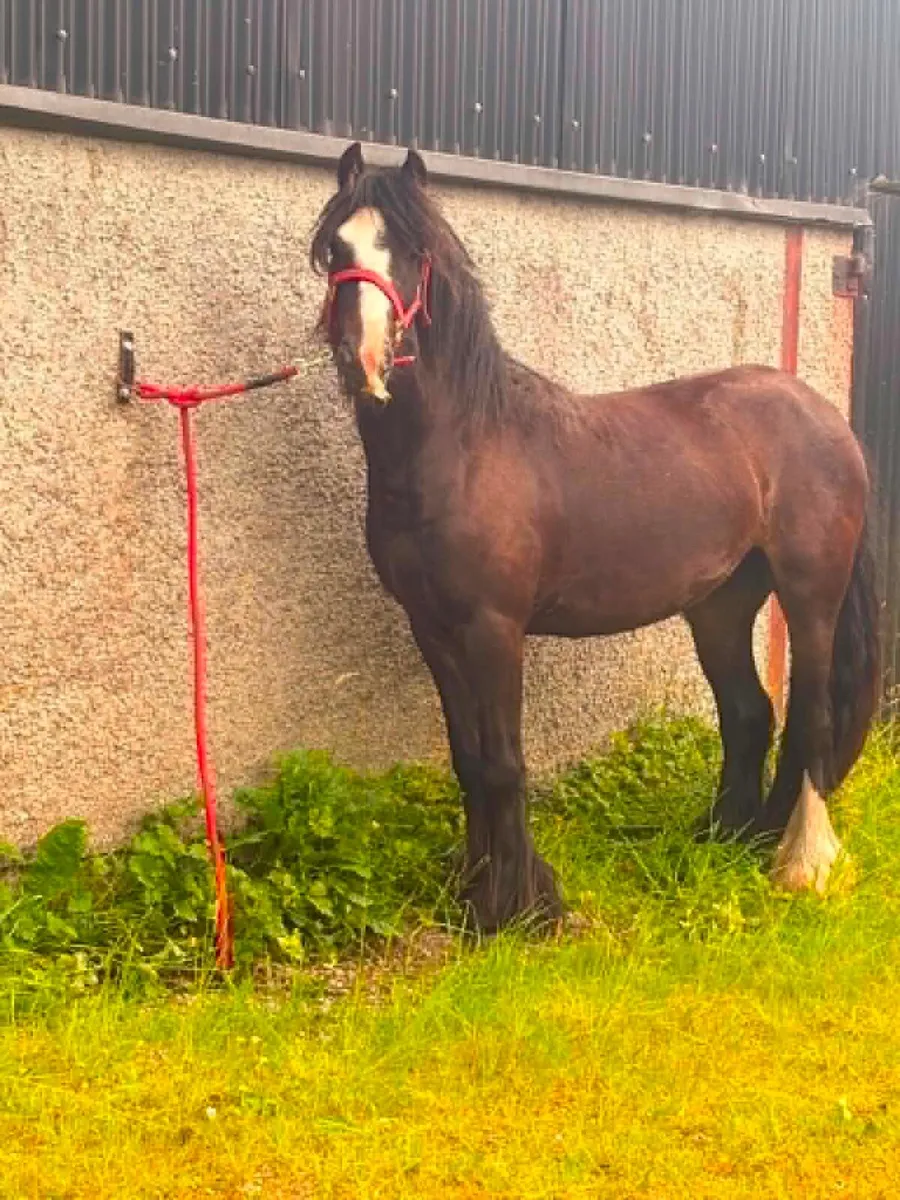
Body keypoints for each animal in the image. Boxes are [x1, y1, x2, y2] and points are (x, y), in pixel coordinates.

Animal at [310, 141, 880, 933]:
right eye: (337, 248)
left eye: (414, 253)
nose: (363, 360)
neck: (463, 447)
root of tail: (826, 417)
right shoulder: (432, 628)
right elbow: (467, 759)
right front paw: (476, 892)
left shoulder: (494, 629)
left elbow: (503, 762)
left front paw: (520, 908)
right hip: (720, 605)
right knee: (748, 712)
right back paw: (728, 839)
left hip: (810, 595)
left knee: (814, 718)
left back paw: (802, 864)